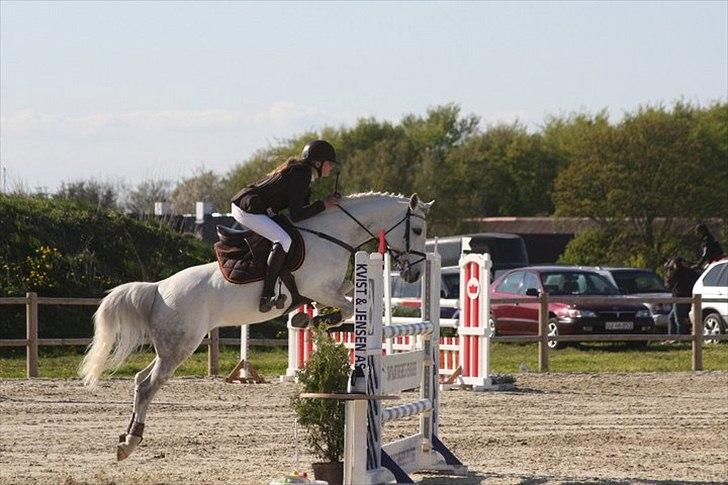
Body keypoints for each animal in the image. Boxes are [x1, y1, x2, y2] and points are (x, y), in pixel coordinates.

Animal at [79, 191, 432, 460]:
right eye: (417, 231)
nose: (415, 272)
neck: (333, 235)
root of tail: (158, 289)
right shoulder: (319, 287)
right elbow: (345, 307)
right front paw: (318, 319)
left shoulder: (325, 289)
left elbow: (342, 298)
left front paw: (307, 317)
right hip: (180, 347)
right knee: (148, 386)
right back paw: (130, 442)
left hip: (170, 348)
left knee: (140, 380)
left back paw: (126, 438)